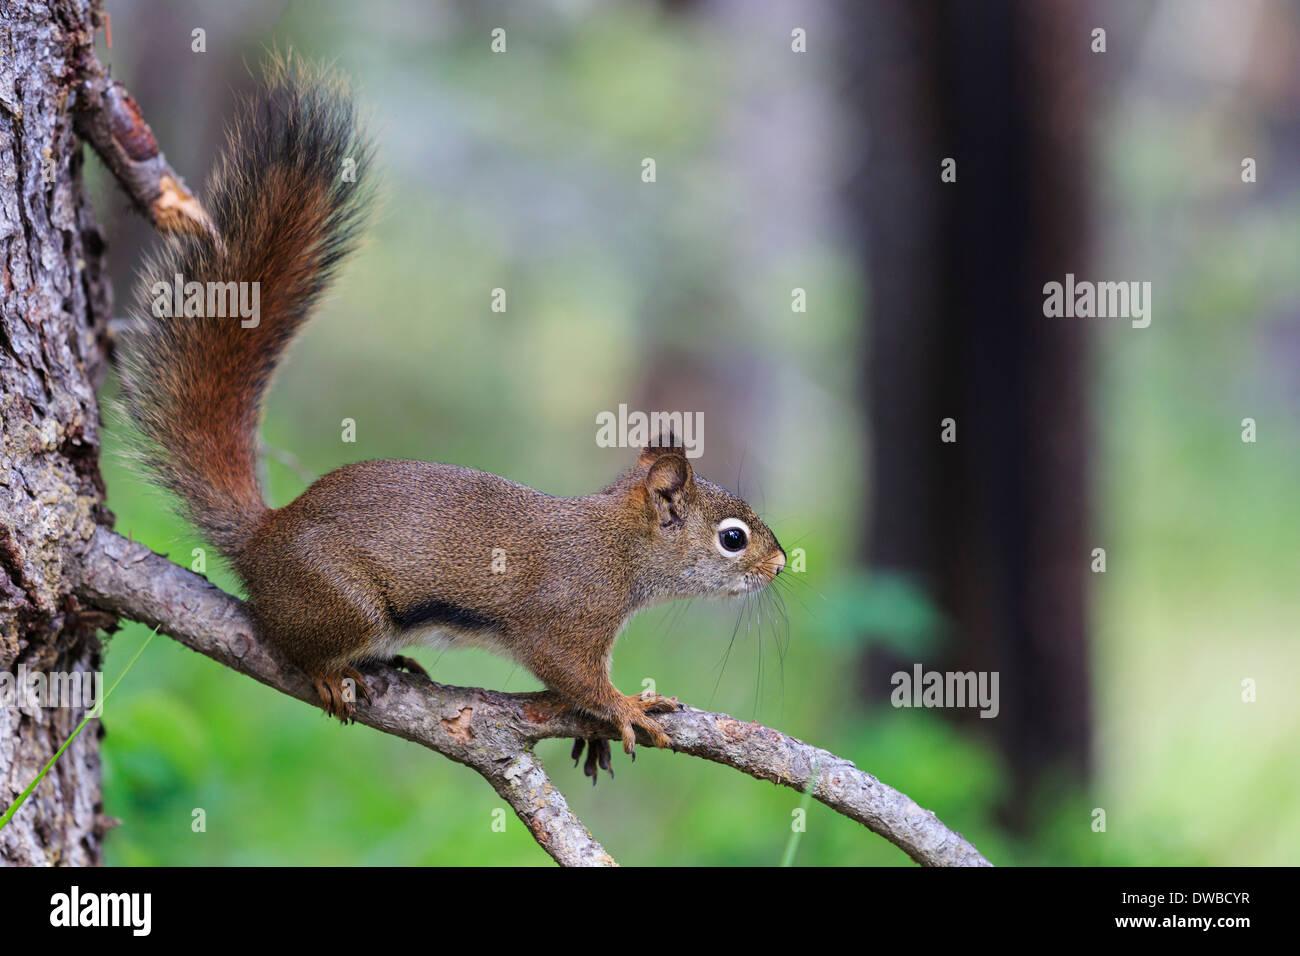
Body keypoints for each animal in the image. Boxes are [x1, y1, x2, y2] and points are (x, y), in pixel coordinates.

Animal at [116, 57, 780, 780]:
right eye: (733, 539)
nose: (780, 566)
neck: (622, 547)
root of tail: (263, 537)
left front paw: (598, 732)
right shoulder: (568, 617)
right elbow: (573, 674)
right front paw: (626, 707)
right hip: (342, 603)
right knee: (293, 642)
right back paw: (328, 671)